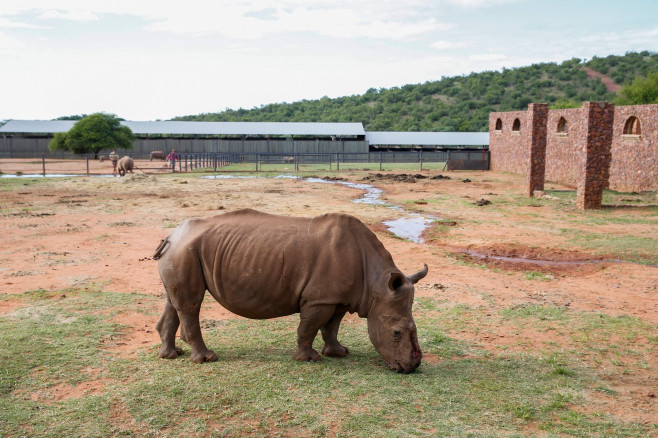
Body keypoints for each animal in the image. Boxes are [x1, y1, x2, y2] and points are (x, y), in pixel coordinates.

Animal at [155, 209, 430, 372]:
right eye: (396, 333)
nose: (411, 367)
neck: (377, 285)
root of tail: (171, 235)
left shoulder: (338, 298)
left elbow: (332, 327)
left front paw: (339, 353)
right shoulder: (320, 299)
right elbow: (309, 326)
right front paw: (308, 359)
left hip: (181, 252)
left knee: (174, 302)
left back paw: (171, 355)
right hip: (185, 251)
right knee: (190, 304)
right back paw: (207, 359)